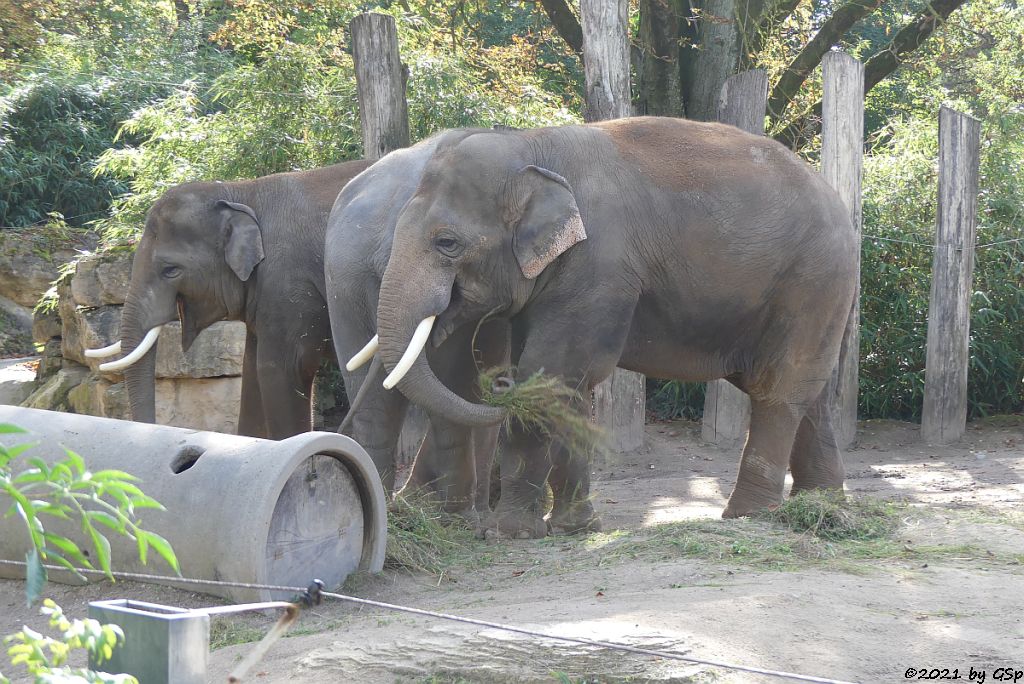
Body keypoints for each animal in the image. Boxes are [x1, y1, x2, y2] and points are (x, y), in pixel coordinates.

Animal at [366, 117, 856, 540]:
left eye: (447, 243)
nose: (500, 384)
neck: (530, 145)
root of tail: (840, 204)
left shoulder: (597, 266)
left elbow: (552, 372)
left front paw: (508, 534)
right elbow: (568, 385)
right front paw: (573, 528)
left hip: (812, 282)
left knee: (779, 392)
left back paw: (747, 516)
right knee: (809, 394)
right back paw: (823, 507)